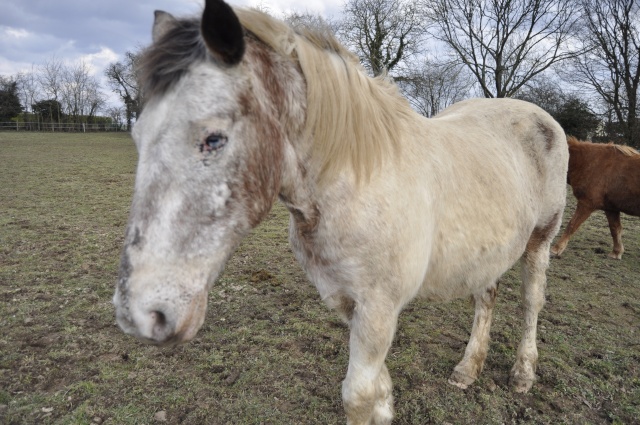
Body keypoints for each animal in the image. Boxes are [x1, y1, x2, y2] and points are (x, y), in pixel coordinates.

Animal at [112, 1, 568, 422]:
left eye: (213, 138)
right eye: (137, 136)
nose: (141, 314)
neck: (354, 179)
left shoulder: (378, 307)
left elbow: (357, 395)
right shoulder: (346, 300)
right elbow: (375, 389)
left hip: (540, 240)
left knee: (531, 302)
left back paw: (523, 374)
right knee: (486, 297)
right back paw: (467, 370)